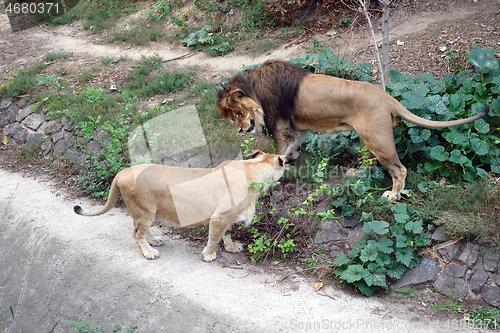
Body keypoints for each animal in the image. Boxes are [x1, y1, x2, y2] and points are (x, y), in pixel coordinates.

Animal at [73, 149, 286, 260]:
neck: (254, 169)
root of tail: (122, 172)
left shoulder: (228, 216)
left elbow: (227, 233)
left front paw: (232, 247)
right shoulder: (220, 216)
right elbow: (215, 237)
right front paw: (208, 255)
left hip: (142, 212)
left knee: (137, 229)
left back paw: (153, 241)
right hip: (145, 210)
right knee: (135, 233)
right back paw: (149, 252)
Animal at [215, 59, 488, 200]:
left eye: (237, 114)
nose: (240, 131)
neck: (253, 88)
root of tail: (387, 97)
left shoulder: (279, 127)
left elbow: (278, 152)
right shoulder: (295, 128)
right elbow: (293, 148)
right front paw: (291, 160)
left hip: (377, 139)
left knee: (399, 169)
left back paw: (393, 196)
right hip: (367, 138)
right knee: (369, 163)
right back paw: (356, 174)